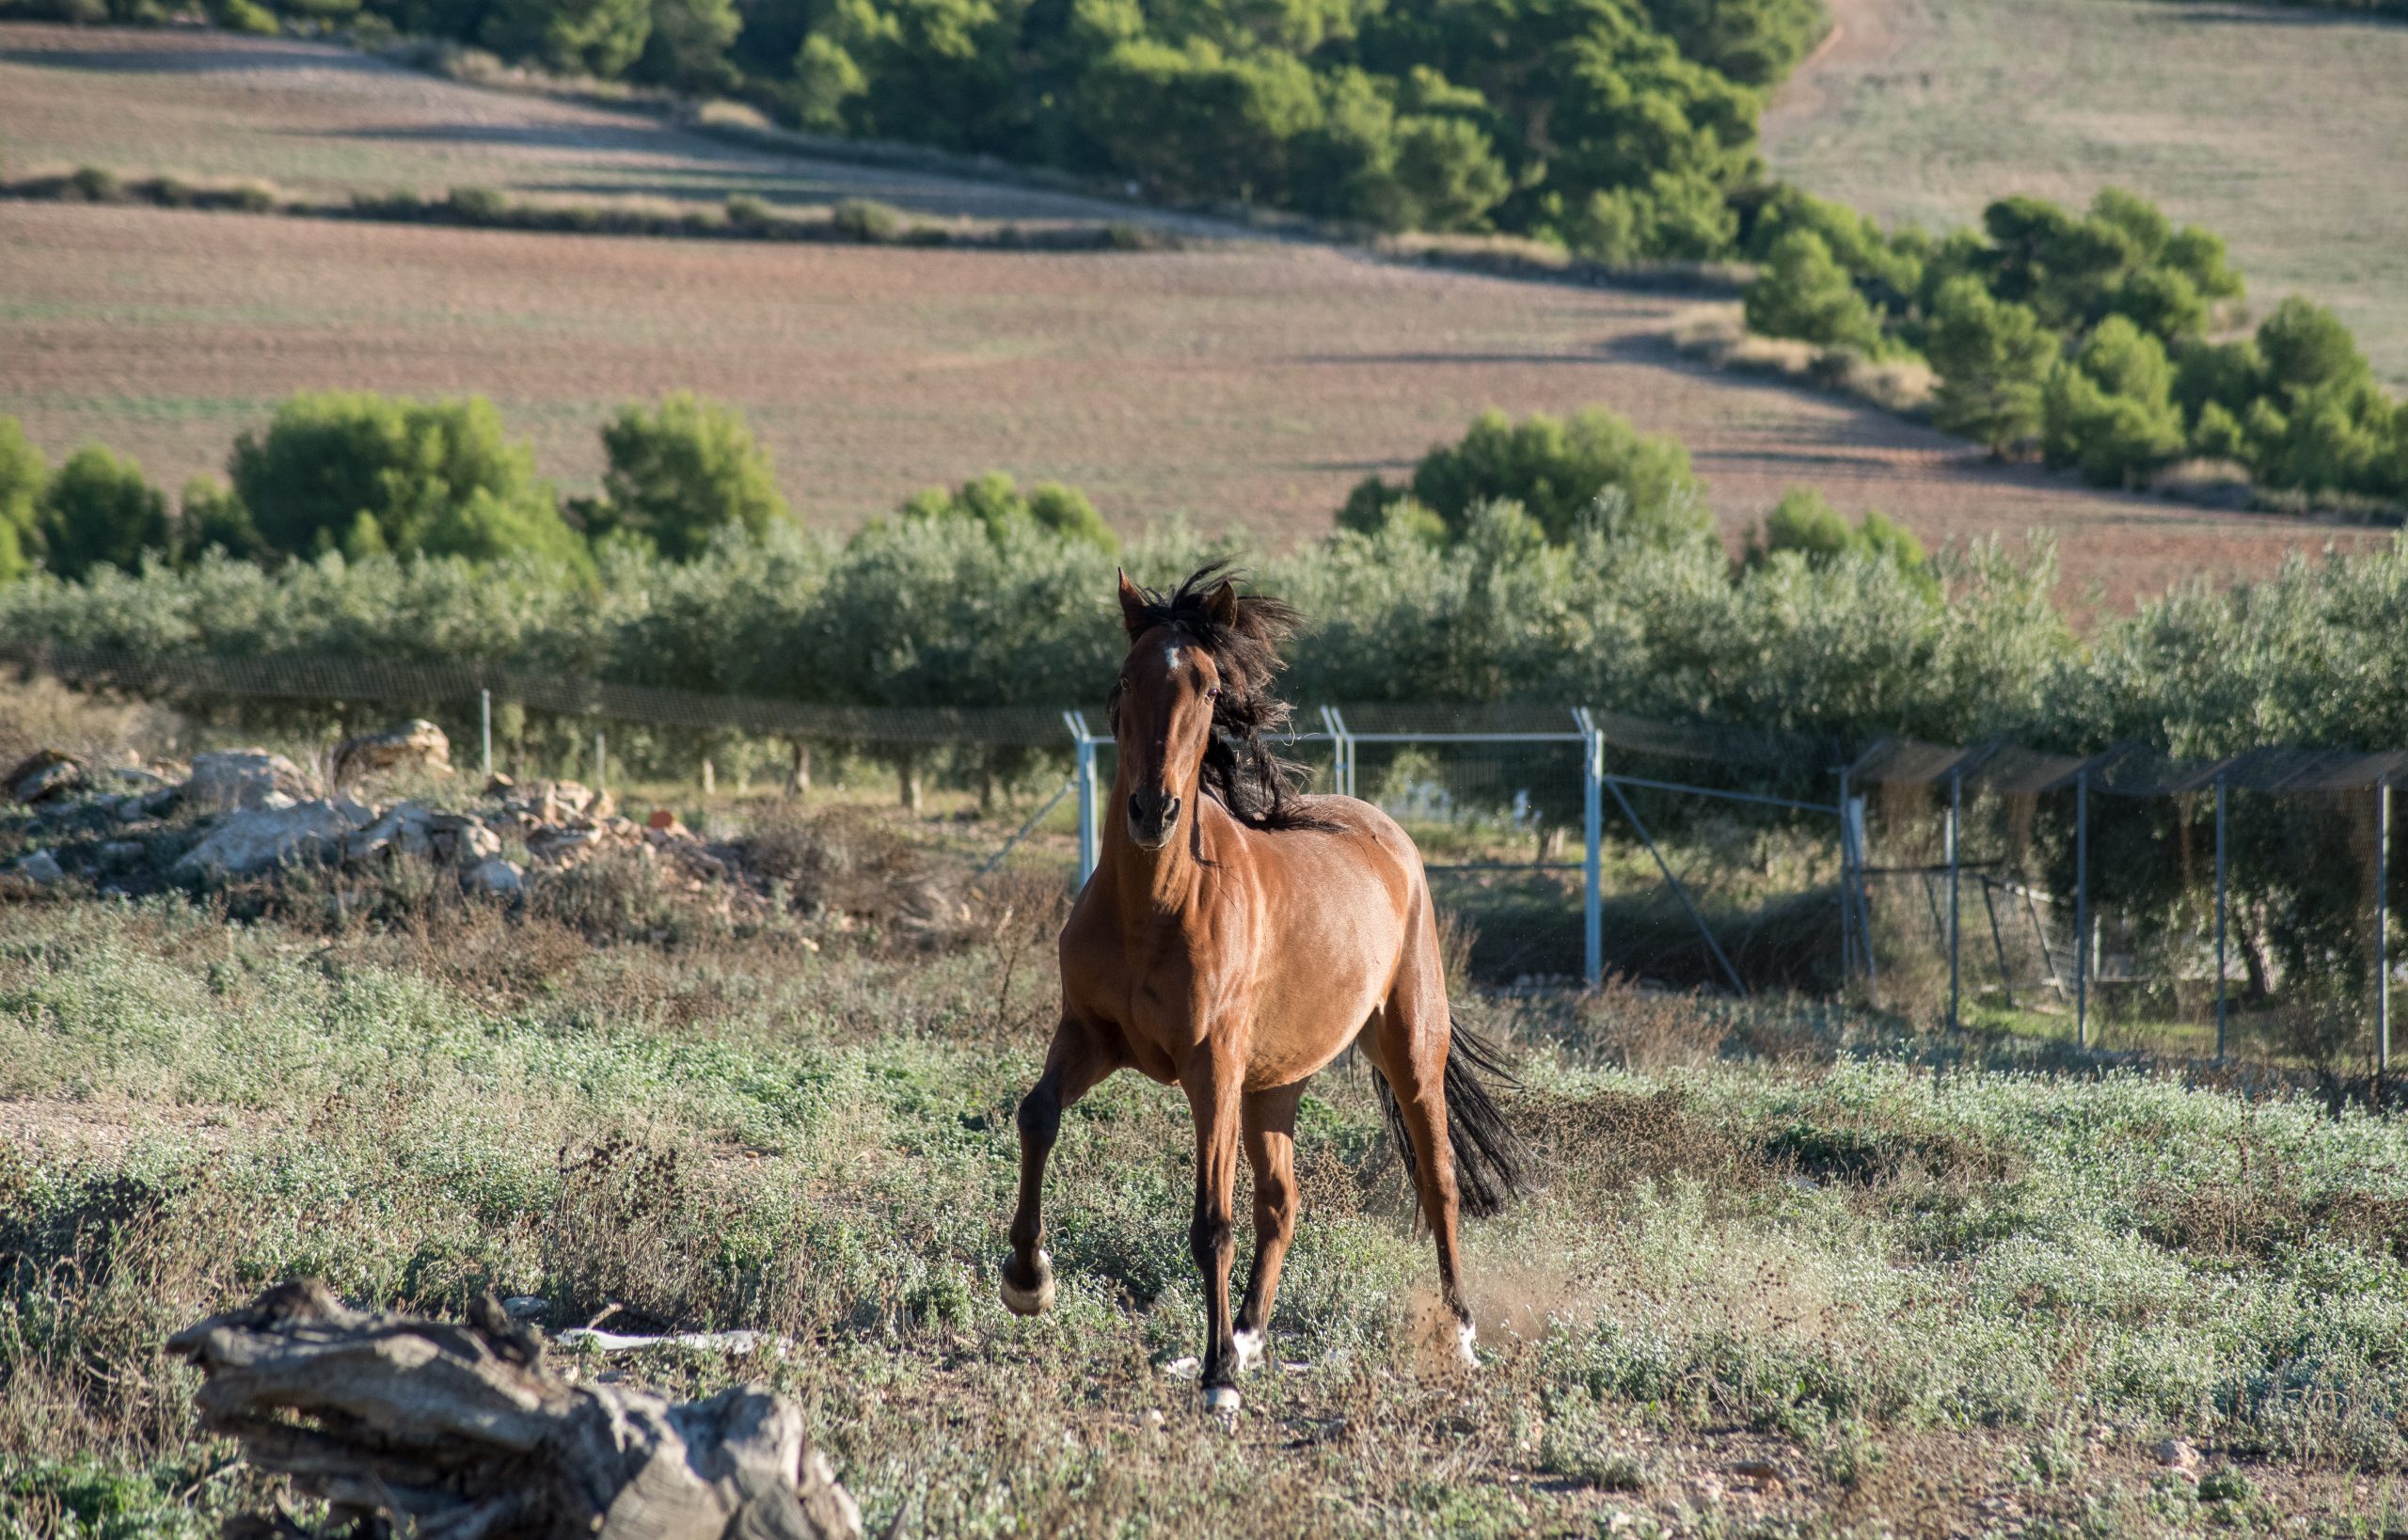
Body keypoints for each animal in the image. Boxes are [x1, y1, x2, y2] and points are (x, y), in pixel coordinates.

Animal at [998, 562, 1526, 1413]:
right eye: (1127, 676)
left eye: (1210, 686)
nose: (1153, 810)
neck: (1154, 905)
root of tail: (1391, 837)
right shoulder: (1088, 1035)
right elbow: (1037, 1114)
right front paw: (1027, 1278)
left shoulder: (1210, 1067)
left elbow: (1212, 1219)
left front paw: (1216, 1380)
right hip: (1273, 1084)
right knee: (1283, 1202)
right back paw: (1247, 1335)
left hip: (1409, 1050)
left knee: (1438, 1180)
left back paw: (1460, 1334)